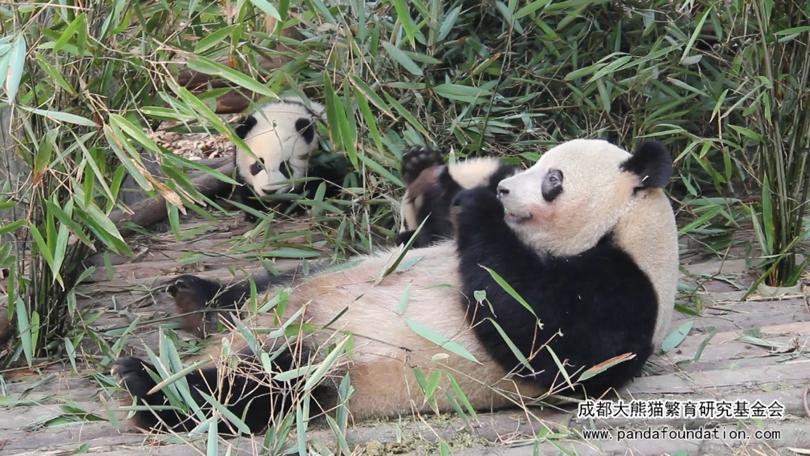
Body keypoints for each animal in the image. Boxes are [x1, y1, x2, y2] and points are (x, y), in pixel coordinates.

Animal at [112, 138, 679, 436]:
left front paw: (478, 207)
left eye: (553, 177)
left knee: (260, 389)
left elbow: (543, 338)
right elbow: (427, 235)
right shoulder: (433, 240)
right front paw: (432, 178)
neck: (623, 227)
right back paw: (195, 299)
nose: (502, 188)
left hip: (335, 365)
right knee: (265, 288)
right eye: (535, 164)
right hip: (290, 294)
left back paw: (150, 381)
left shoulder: (623, 292)